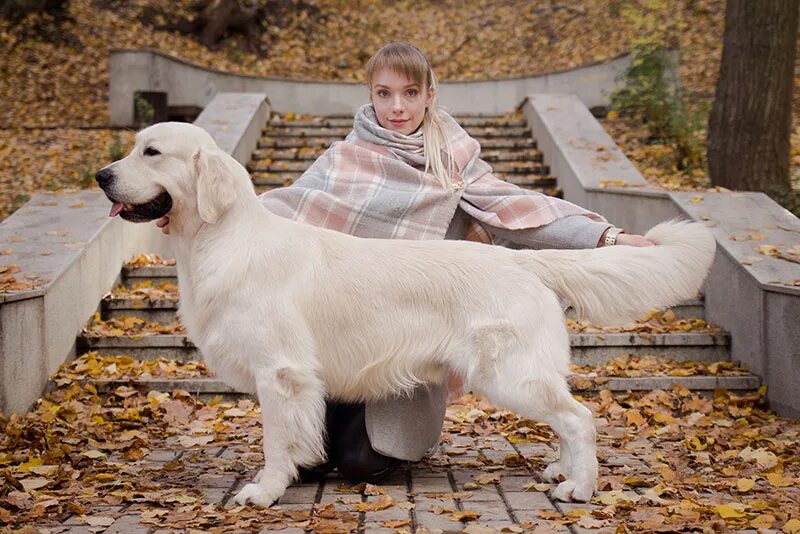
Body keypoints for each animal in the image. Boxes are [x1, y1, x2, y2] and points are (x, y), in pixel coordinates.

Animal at [97, 123, 716, 508]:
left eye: (152, 152)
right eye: (133, 148)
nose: (102, 175)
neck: (219, 239)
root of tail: (521, 259)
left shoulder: (281, 371)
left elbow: (275, 441)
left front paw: (264, 491)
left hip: (509, 374)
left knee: (580, 418)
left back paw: (578, 489)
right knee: (566, 419)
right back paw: (563, 470)